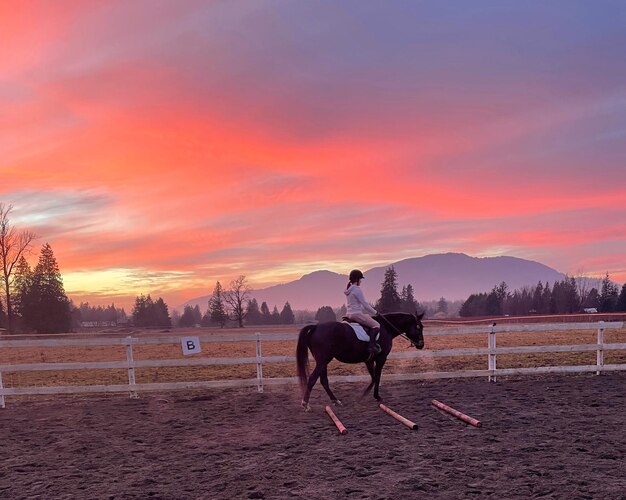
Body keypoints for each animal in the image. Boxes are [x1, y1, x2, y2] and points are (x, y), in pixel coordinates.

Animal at [294, 312, 422, 410]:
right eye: (419, 327)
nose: (421, 344)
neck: (386, 328)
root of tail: (316, 327)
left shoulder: (369, 360)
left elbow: (373, 377)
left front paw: (364, 396)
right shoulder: (381, 358)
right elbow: (377, 377)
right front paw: (374, 396)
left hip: (323, 362)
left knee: (324, 381)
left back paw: (335, 401)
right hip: (322, 361)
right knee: (312, 379)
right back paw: (305, 404)